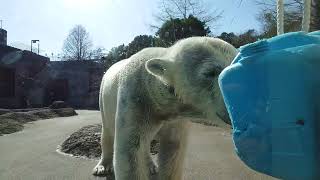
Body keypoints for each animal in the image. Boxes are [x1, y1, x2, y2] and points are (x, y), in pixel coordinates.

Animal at [92, 37, 238, 180]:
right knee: (107, 131)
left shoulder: (176, 118)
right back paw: (102, 167)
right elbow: (130, 153)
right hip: (103, 99)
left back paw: (150, 166)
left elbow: (172, 151)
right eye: (209, 72)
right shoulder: (136, 100)